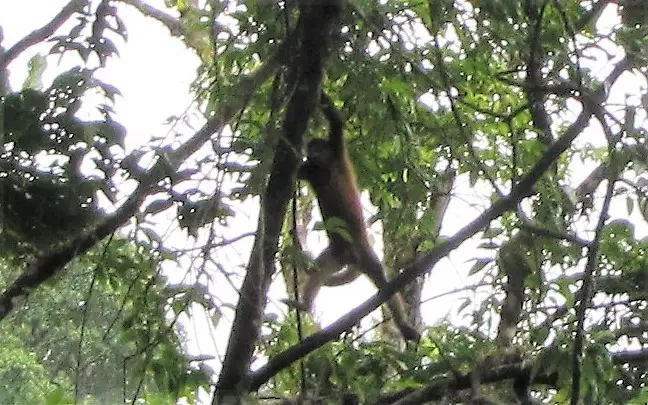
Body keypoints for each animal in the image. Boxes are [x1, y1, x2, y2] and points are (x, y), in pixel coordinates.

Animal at [296, 93, 420, 342]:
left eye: (317, 147)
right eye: (310, 148)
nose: (312, 152)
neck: (324, 166)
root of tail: (350, 255)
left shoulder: (336, 149)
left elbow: (336, 121)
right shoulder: (310, 169)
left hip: (362, 251)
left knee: (383, 281)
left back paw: (403, 325)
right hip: (335, 253)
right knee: (317, 270)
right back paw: (304, 305)